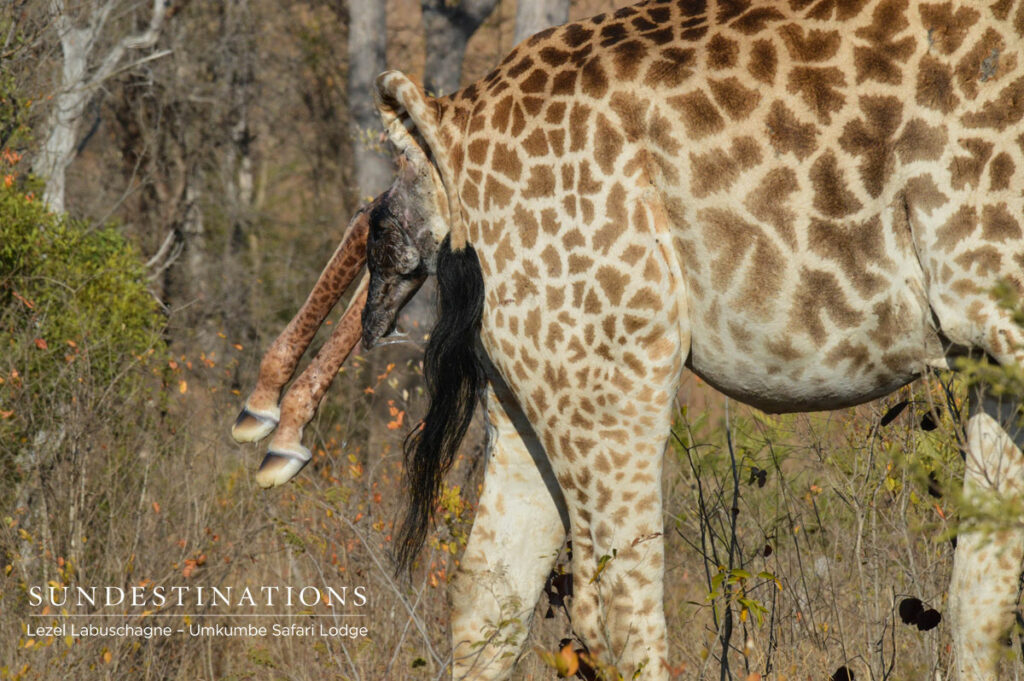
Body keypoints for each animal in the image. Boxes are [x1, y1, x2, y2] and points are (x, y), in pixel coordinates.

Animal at [235, 0, 1024, 678]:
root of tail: (457, 117)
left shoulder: (996, 362)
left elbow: (980, 596)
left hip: (537, 367)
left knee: (489, 589)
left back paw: (274, 421)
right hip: (617, 359)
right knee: (614, 605)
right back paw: (271, 419)